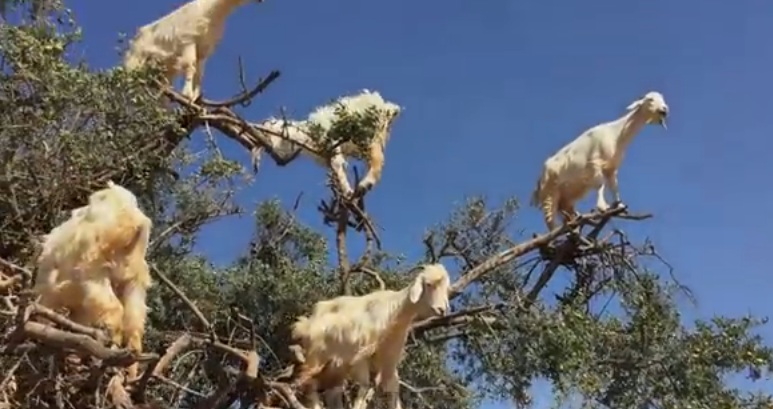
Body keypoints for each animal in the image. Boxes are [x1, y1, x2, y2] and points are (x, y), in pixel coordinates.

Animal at [123, 0, 262, 100]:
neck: (211, 10)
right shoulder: (188, 40)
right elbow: (190, 65)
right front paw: (187, 94)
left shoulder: (203, 51)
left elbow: (199, 75)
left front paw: (196, 99)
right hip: (135, 61)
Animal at [253, 89, 402, 198]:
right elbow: (338, 165)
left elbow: (338, 163)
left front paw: (348, 190)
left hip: (368, 135)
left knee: (377, 158)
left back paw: (364, 184)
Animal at [290, 262, 450, 408]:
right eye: (428, 284)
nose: (441, 310)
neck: (394, 311)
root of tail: (304, 324)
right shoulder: (359, 357)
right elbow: (364, 387)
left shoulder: (388, 362)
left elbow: (393, 390)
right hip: (315, 359)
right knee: (308, 386)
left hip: (333, 370)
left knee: (330, 392)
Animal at [528, 91, 668, 230]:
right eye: (650, 99)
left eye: (662, 99)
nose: (664, 109)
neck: (616, 133)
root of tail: (539, 181)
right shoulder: (594, 164)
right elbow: (601, 184)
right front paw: (602, 207)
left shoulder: (611, 168)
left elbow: (614, 186)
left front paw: (620, 206)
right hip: (549, 193)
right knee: (550, 220)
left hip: (567, 196)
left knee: (565, 211)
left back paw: (574, 224)